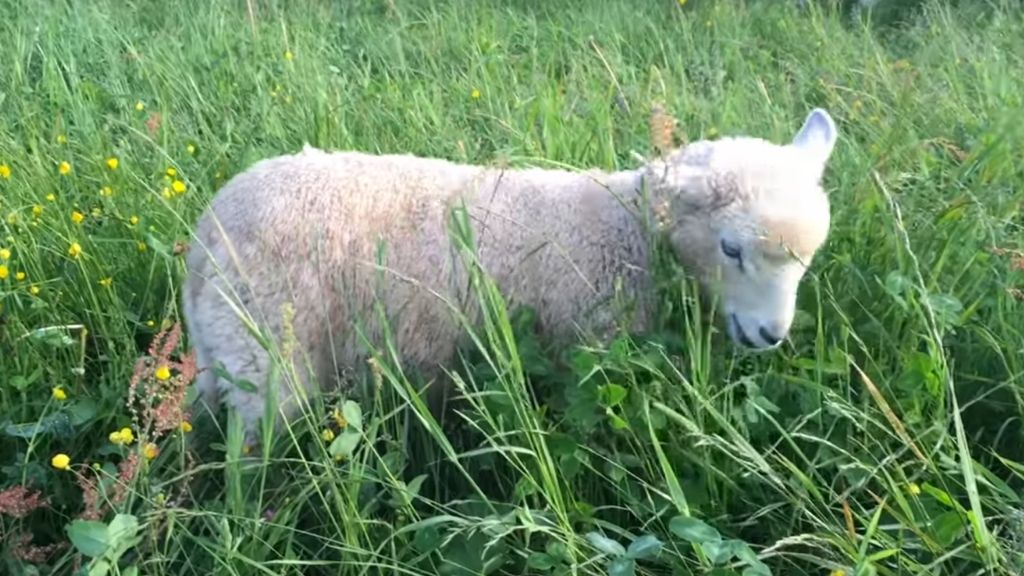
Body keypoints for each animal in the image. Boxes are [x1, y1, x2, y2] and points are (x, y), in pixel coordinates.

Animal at [182, 107, 839, 438]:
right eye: (731, 248)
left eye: (808, 257)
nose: (771, 336)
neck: (621, 224)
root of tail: (206, 232)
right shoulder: (590, 346)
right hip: (269, 355)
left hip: (224, 354)